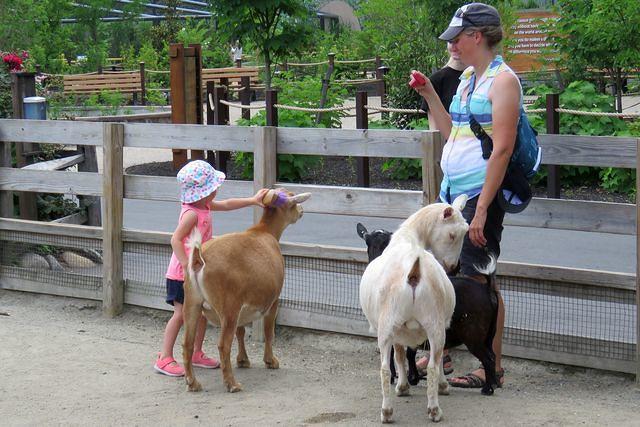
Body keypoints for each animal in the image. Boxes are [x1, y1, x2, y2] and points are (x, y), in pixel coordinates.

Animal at [182, 189, 311, 393]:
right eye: (292, 201)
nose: (301, 211)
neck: (264, 231)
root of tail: (199, 258)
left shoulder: (242, 306)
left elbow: (241, 332)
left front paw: (243, 360)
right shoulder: (273, 300)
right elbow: (268, 332)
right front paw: (271, 361)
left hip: (192, 303)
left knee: (187, 343)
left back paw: (193, 383)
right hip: (228, 308)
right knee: (223, 345)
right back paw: (232, 384)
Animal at [357, 224, 500, 397]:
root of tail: (486, 288)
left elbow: (394, 354)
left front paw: (398, 378)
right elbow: (410, 353)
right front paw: (413, 378)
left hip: (474, 336)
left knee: (488, 358)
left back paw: (488, 389)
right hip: (489, 335)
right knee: (492, 355)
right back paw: (494, 383)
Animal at [359, 195, 469, 423]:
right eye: (452, 235)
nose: (454, 267)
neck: (409, 238)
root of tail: (414, 272)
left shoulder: (400, 330)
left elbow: (401, 356)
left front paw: (402, 387)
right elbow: (407, 356)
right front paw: (411, 386)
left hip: (390, 324)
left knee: (385, 369)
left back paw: (389, 411)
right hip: (432, 323)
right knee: (432, 365)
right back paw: (433, 410)